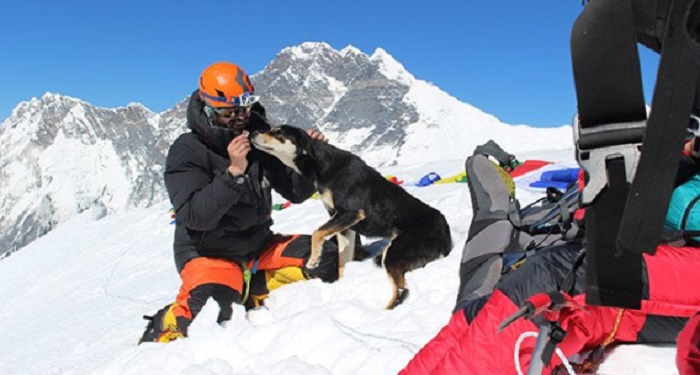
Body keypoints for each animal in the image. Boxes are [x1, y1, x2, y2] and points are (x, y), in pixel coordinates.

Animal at [252, 125, 454, 308]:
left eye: (278, 132)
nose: (253, 132)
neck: (321, 165)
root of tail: (445, 232)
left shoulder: (351, 212)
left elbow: (317, 232)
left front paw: (314, 259)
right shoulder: (345, 227)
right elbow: (343, 263)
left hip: (394, 253)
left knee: (401, 290)